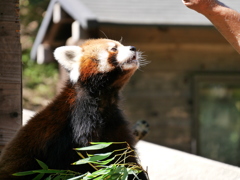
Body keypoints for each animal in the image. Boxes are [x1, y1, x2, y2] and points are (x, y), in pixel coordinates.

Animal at [0, 38, 147, 179]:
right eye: (114, 48)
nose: (133, 48)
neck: (103, 99)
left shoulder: (114, 122)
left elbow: (124, 155)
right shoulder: (79, 122)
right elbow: (86, 158)